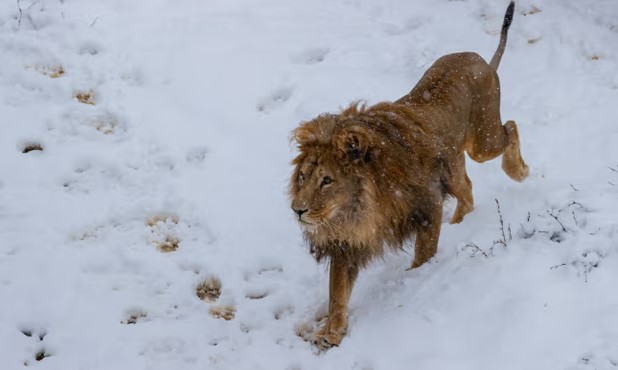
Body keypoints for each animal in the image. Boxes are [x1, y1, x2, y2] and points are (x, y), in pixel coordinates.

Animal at [288, 0, 524, 350]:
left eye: (326, 180)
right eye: (303, 177)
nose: (297, 210)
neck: (360, 207)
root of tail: (481, 59)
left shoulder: (426, 207)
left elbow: (423, 254)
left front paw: (415, 278)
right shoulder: (348, 240)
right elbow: (337, 293)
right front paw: (330, 332)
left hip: (483, 140)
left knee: (510, 128)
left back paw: (519, 171)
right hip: (455, 163)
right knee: (467, 189)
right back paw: (459, 224)